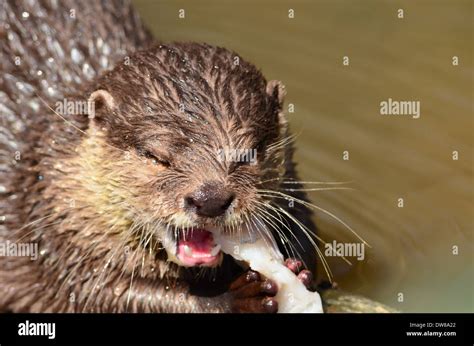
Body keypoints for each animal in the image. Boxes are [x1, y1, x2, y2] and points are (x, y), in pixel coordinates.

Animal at [0, 0, 318, 314]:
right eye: (156, 157)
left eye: (248, 153)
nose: (210, 198)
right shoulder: (56, 236)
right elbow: (104, 293)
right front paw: (234, 298)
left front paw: (297, 271)